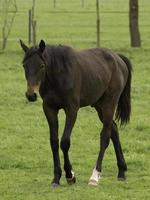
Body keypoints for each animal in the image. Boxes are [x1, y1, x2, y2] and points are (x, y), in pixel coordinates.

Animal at [19, 39, 131, 187]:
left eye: (42, 65)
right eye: (24, 65)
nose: (31, 95)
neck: (59, 74)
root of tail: (118, 58)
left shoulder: (71, 110)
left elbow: (65, 142)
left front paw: (69, 175)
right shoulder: (49, 109)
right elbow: (54, 142)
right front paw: (56, 178)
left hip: (109, 103)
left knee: (105, 136)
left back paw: (95, 176)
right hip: (99, 106)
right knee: (114, 130)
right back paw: (122, 171)